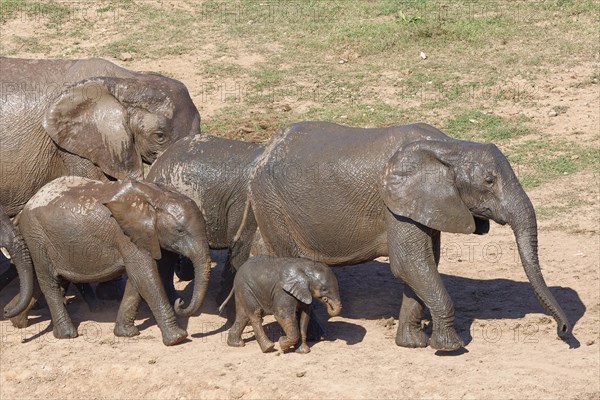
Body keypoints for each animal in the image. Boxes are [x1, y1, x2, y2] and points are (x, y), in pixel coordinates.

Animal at [8, 177, 212, 346]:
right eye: (180, 231)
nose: (180, 302)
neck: (156, 196)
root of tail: (27, 205)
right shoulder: (126, 235)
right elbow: (145, 276)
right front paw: (178, 339)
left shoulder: (144, 236)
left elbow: (137, 280)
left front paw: (126, 333)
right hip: (37, 236)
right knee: (49, 282)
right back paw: (66, 334)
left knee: (47, 280)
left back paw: (15, 319)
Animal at [245, 121, 572, 350]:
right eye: (489, 181)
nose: (563, 332)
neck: (448, 147)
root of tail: (264, 150)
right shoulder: (395, 205)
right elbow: (411, 264)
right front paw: (451, 348)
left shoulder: (425, 205)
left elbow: (423, 265)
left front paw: (412, 344)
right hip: (272, 203)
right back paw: (315, 338)